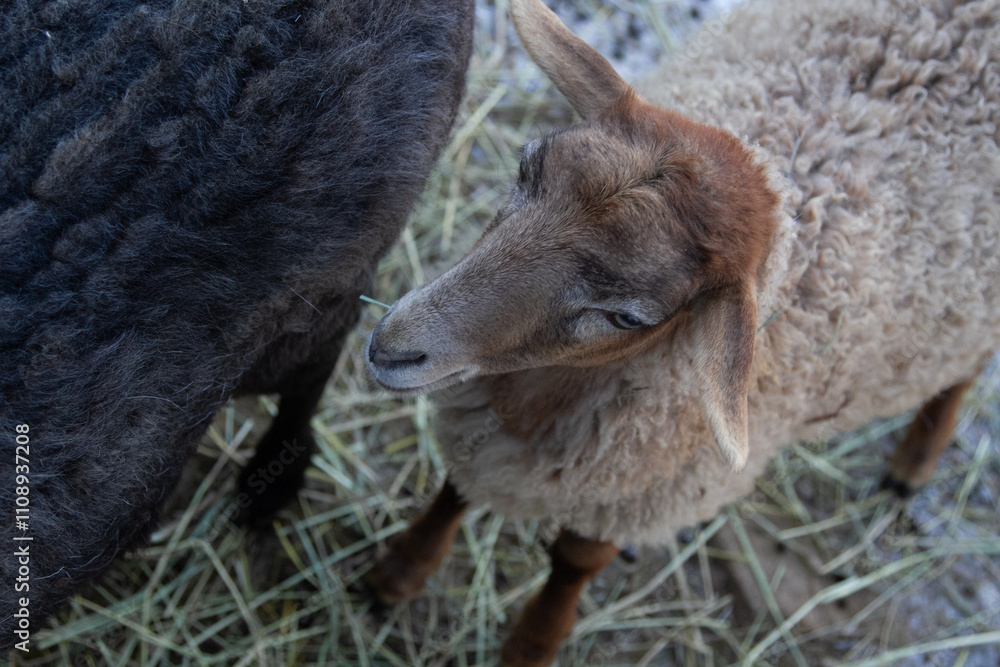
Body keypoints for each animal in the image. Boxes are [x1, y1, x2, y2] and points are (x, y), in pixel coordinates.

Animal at [363, 0, 1000, 664]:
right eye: (525, 167)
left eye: (627, 317)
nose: (394, 344)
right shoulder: (488, 433)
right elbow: (454, 489)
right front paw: (398, 574)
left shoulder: (645, 490)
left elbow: (572, 563)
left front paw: (532, 644)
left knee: (967, 369)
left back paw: (916, 460)